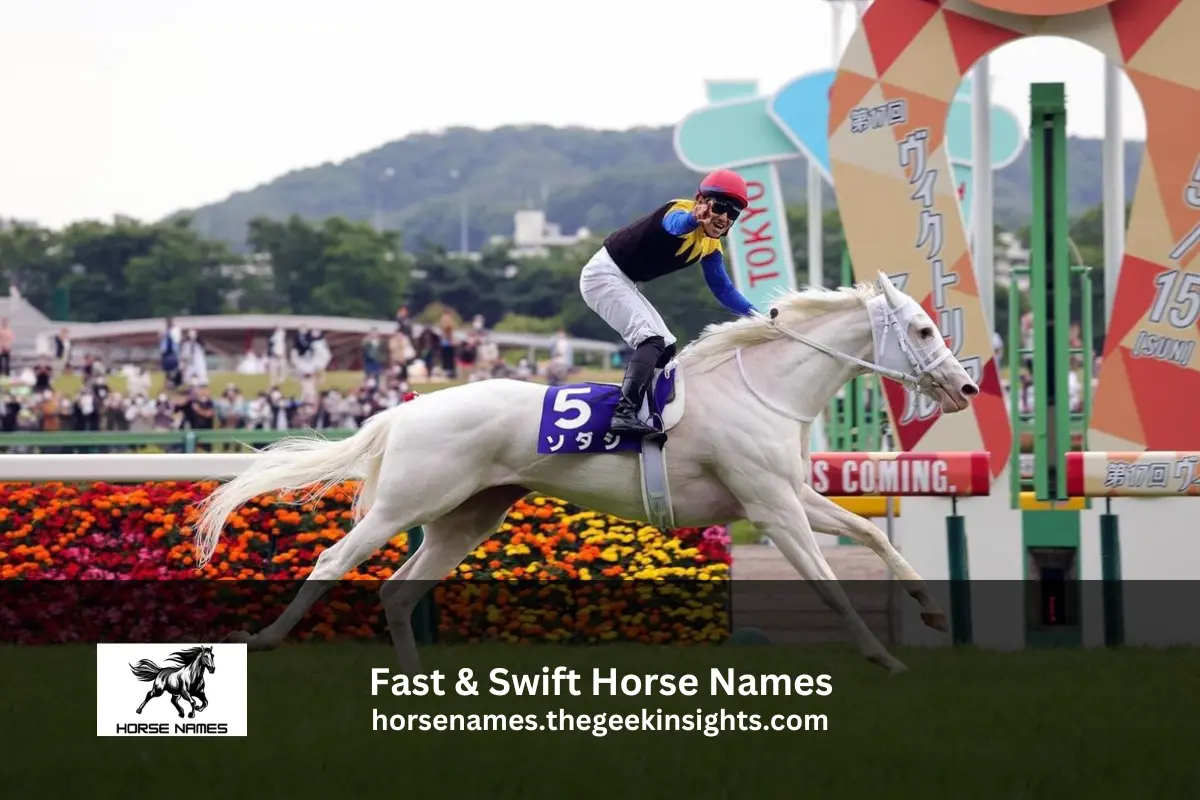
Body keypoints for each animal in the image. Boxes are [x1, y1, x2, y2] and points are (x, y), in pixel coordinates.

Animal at [193, 272, 979, 675]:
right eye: (922, 329)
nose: (966, 387)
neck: (761, 386)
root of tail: (402, 413)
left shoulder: (787, 495)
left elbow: (872, 537)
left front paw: (933, 612)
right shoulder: (772, 506)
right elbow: (829, 585)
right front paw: (885, 657)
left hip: (469, 516)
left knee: (397, 588)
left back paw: (418, 679)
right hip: (406, 505)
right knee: (333, 561)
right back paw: (262, 641)